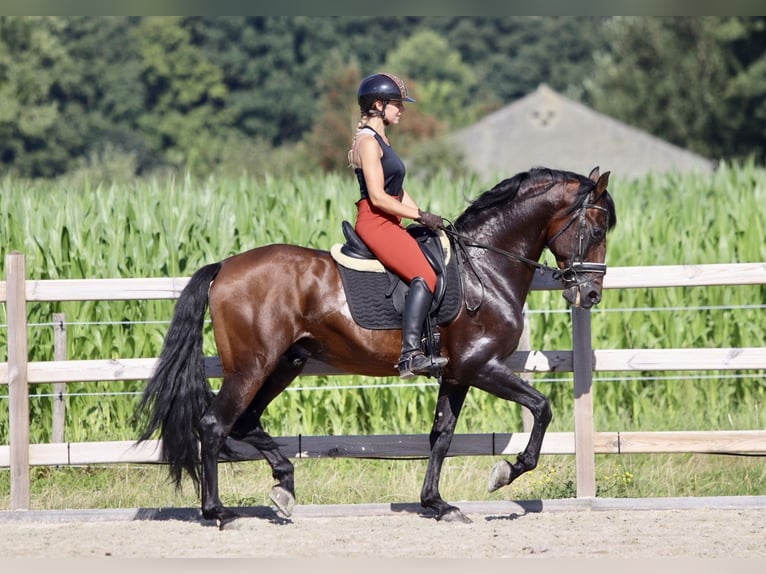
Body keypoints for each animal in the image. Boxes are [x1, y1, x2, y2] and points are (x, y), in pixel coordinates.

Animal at [136, 164, 616, 528]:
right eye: (595, 229)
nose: (591, 295)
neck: (484, 265)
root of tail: (224, 267)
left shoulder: (457, 373)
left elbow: (442, 435)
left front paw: (437, 504)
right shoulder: (482, 365)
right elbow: (541, 407)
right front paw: (505, 472)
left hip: (285, 364)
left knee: (245, 421)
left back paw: (284, 486)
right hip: (252, 366)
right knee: (215, 424)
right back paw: (220, 512)